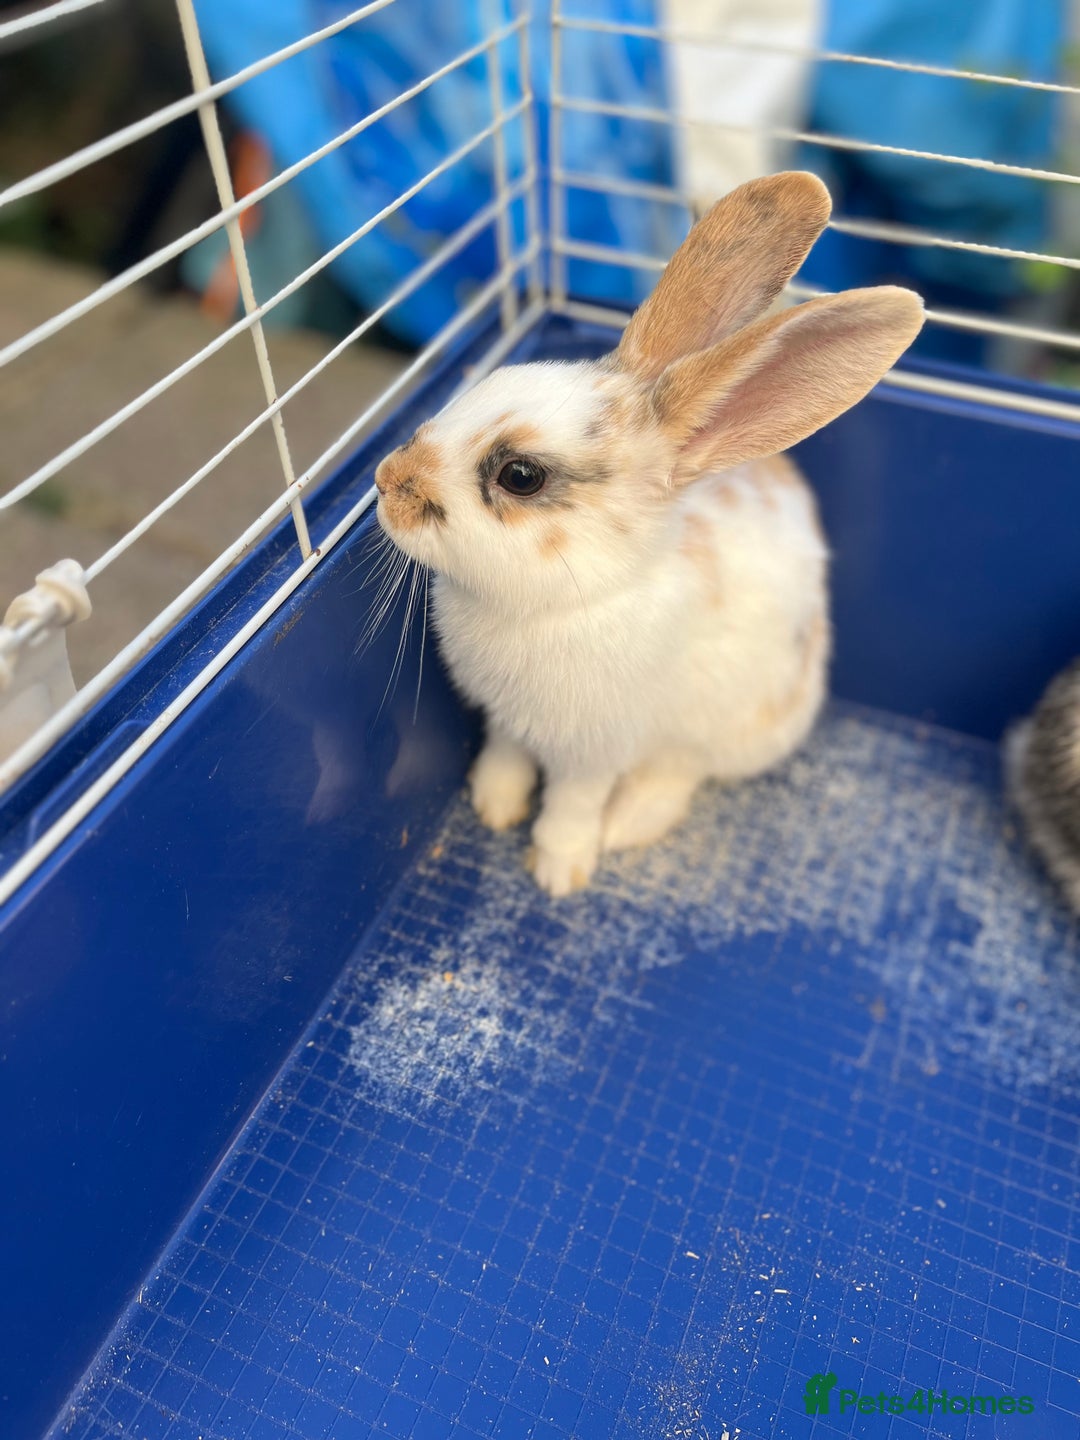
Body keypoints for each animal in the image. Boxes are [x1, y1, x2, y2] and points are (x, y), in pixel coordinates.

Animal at [374, 171, 925, 896]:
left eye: (520, 476)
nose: (385, 481)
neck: (561, 600)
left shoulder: (592, 752)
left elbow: (572, 805)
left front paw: (558, 871)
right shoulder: (505, 721)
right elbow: (505, 755)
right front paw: (493, 805)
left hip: (731, 727)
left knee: (680, 773)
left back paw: (626, 825)